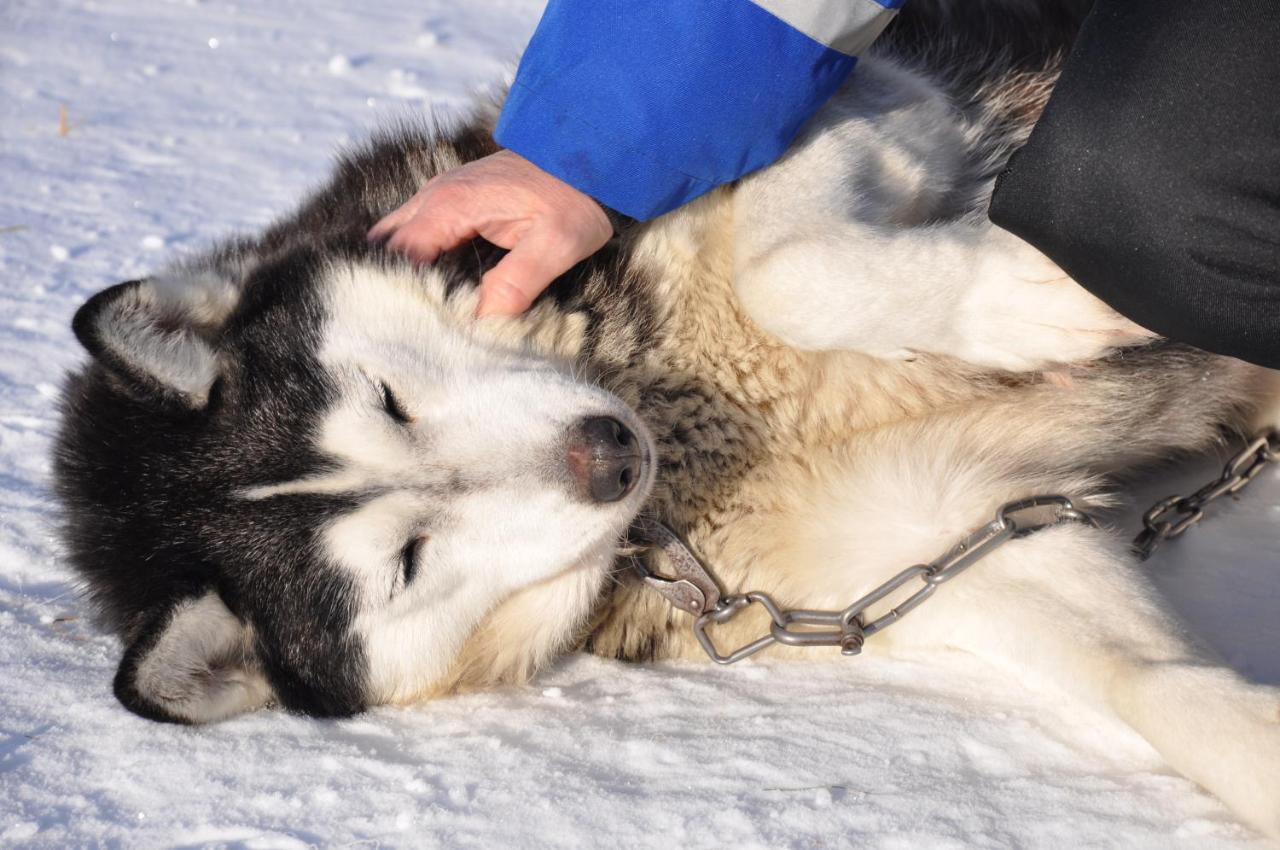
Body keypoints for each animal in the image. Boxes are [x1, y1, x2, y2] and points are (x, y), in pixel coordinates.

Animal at [52, 0, 1280, 834]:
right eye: (409, 558)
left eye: (388, 401)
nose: (604, 457)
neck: (673, 403)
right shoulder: (947, 547)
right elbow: (1157, 684)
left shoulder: (873, 103)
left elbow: (792, 270)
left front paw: (1047, 296)